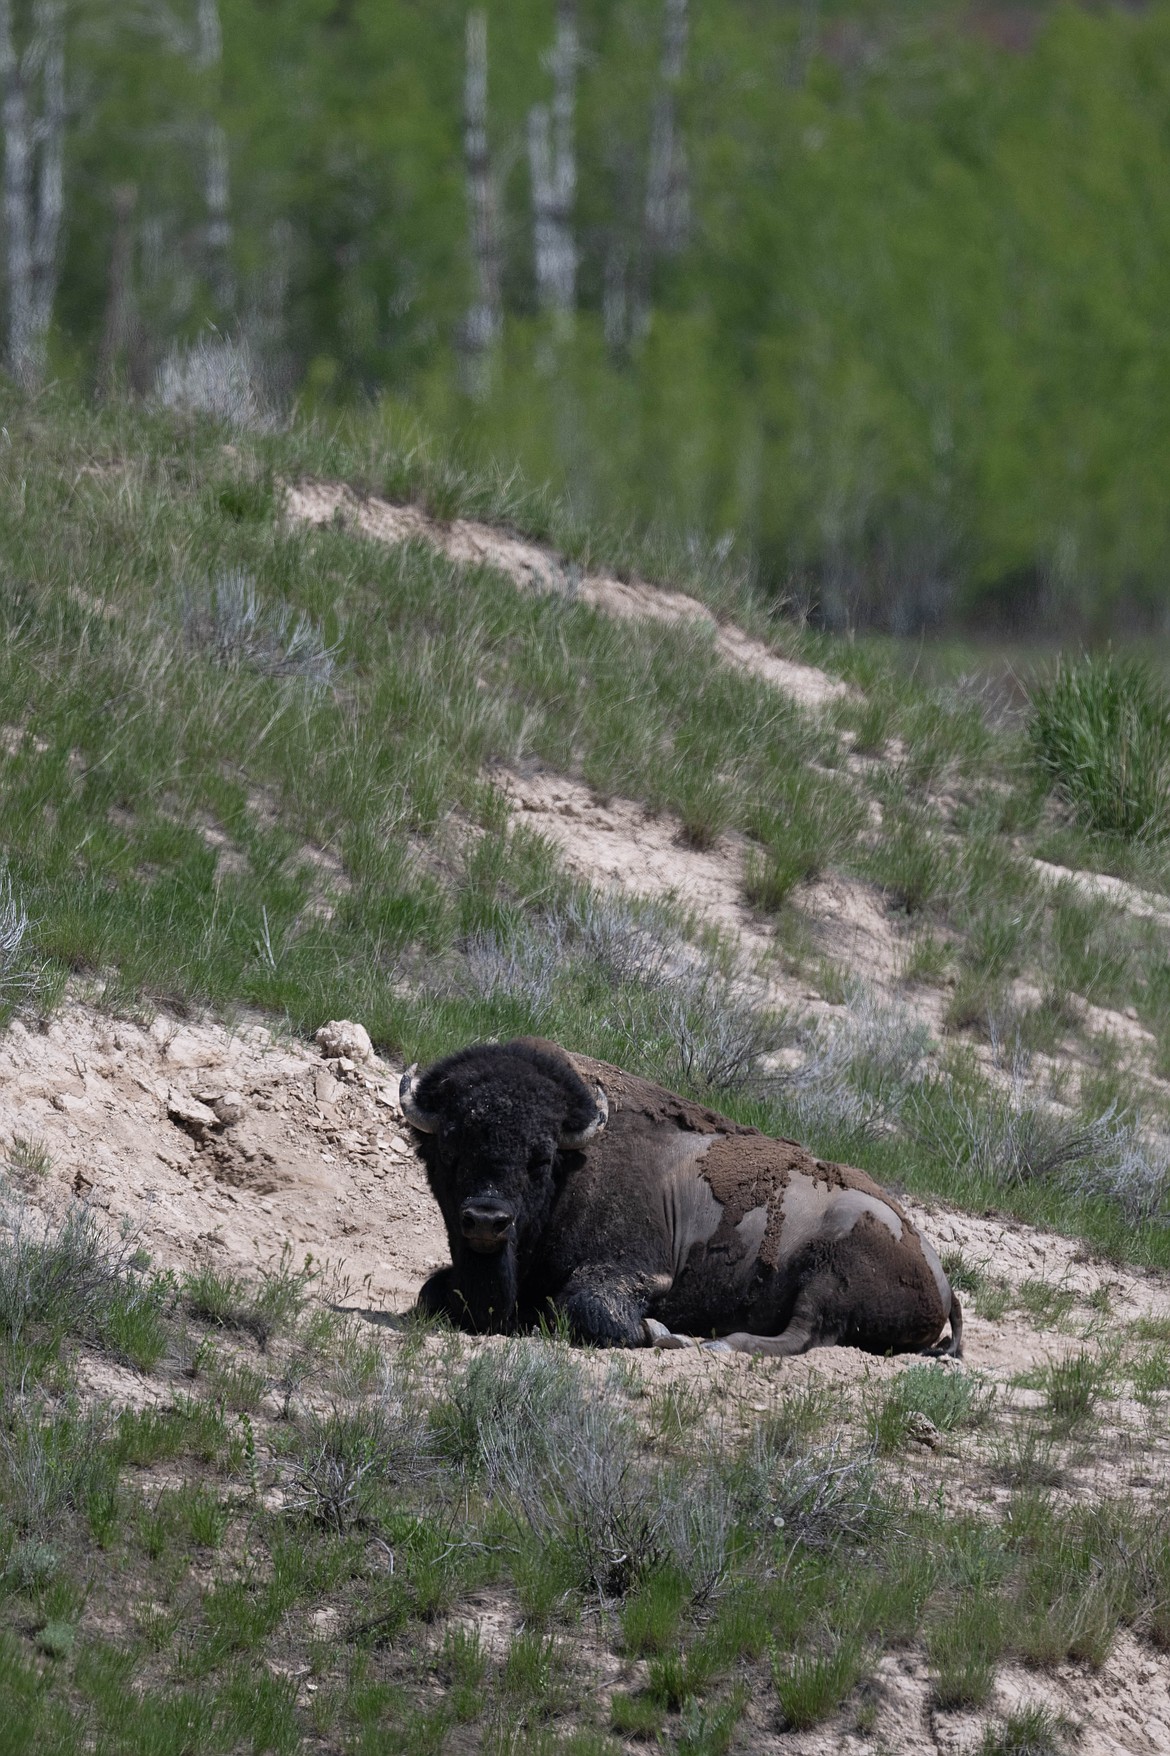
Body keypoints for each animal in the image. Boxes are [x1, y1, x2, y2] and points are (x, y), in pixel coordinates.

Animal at [397, 1032, 962, 1362]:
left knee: (804, 1334)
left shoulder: (635, 1272)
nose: (487, 1220)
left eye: (539, 1157)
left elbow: (586, 1309)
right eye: (449, 1148)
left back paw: (719, 1341)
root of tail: (940, 1277)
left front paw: (662, 1331)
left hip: (828, 1270)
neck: (573, 1162)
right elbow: (430, 1290)